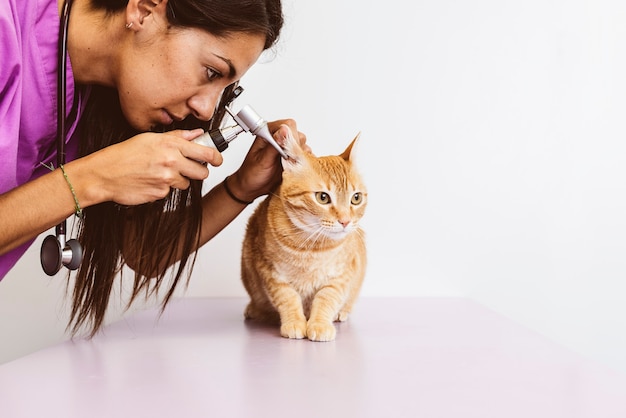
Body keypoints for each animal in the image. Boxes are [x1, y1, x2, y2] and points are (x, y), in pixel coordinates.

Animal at [239, 131, 366, 342]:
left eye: (356, 198)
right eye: (322, 197)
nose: (346, 221)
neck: (312, 245)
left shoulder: (342, 275)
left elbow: (326, 298)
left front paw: (320, 324)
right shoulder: (270, 271)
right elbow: (287, 298)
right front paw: (295, 323)